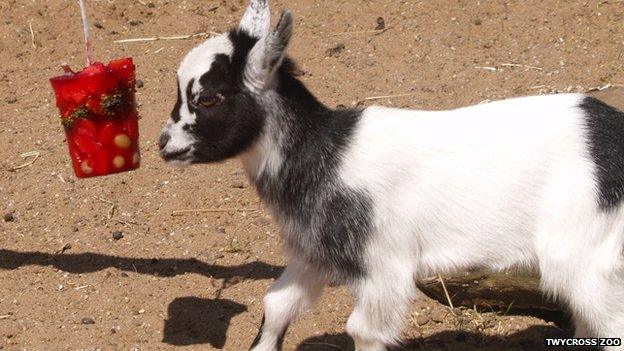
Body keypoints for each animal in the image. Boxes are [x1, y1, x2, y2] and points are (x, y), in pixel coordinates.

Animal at [158, 1, 624, 350]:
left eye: (208, 97)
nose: (164, 144)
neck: (328, 152)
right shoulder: (315, 252)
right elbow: (276, 304)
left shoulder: (384, 263)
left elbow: (363, 331)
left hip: (585, 254)